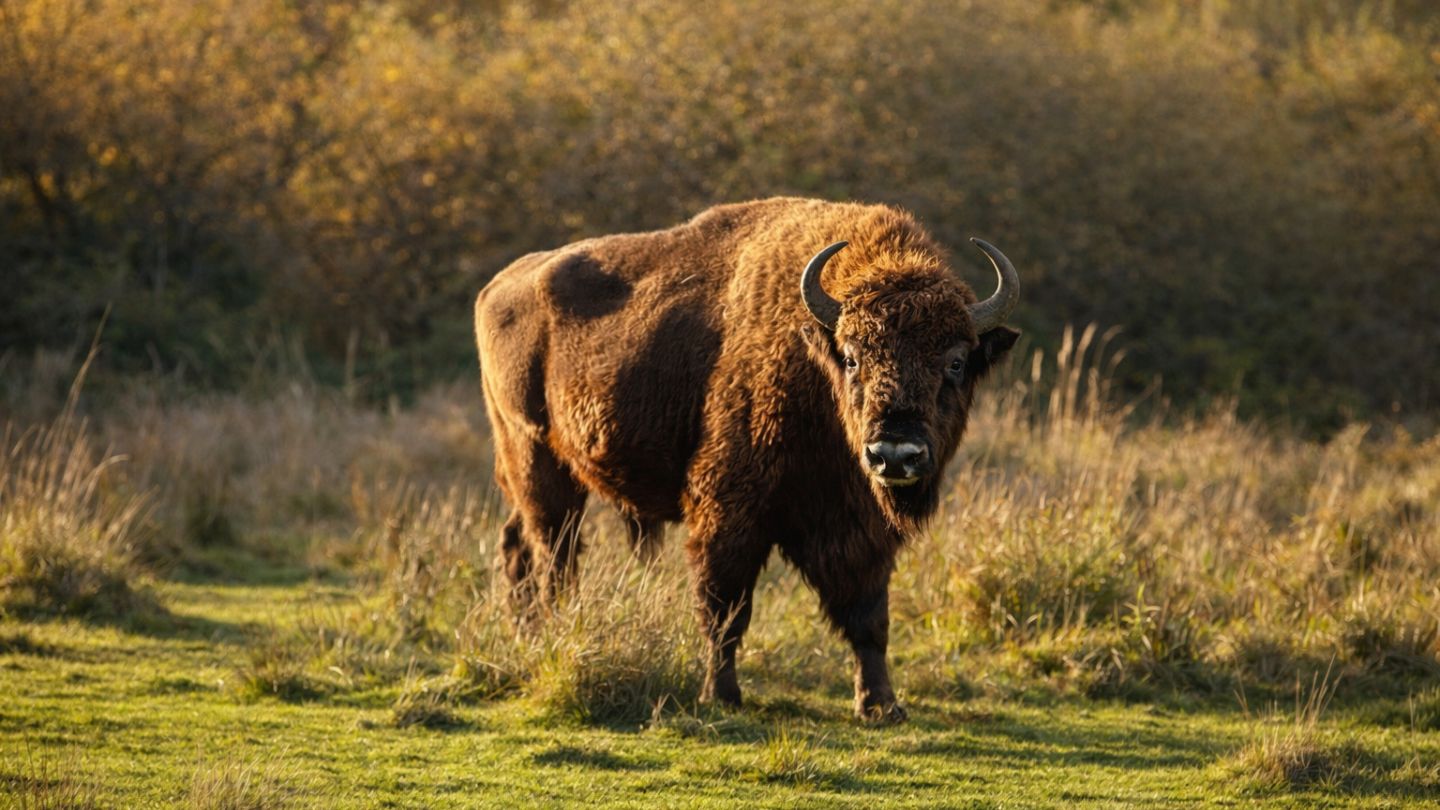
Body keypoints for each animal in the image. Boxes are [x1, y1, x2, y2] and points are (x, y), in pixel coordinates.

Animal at [475, 197, 1020, 721]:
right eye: (851, 357)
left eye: (955, 361)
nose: (895, 454)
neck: (812, 370)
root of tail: (497, 287)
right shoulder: (729, 514)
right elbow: (726, 610)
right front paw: (721, 695)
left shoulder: (860, 528)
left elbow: (869, 618)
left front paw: (881, 706)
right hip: (537, 458)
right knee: (555, 555)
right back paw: (552, 631)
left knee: (518, 544)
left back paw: (526, 636)